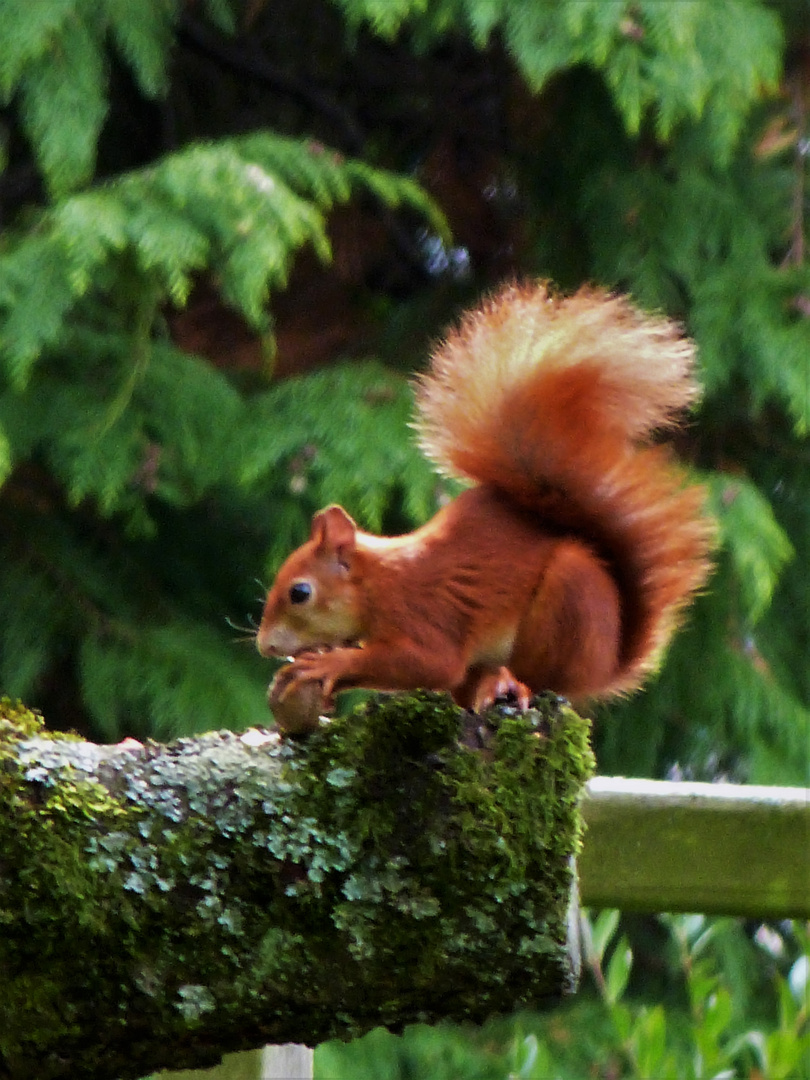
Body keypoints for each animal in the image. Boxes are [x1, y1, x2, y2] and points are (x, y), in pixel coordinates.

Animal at [257, 282, 712, 712]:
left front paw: (331, 663)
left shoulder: (424, 615)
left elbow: (431, 664)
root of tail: (607, 667)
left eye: (300, 593)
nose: (264, 646)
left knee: (543, 678)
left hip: (569, 601)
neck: (378, 584)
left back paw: (514, 684)